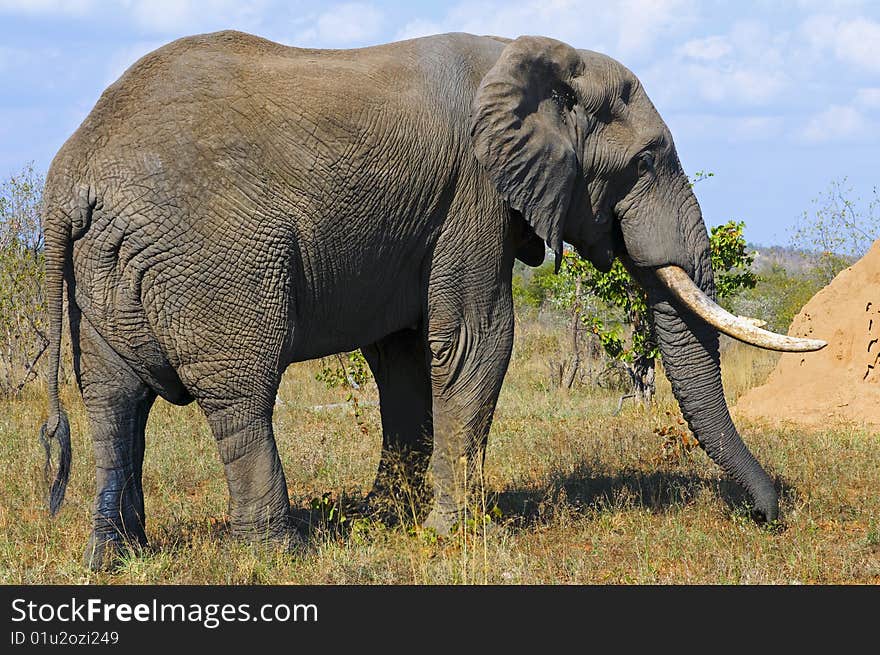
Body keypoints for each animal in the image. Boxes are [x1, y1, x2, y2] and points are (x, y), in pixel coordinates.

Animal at [39, 29, 824, 568]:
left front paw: (389, 516)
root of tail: (70, 179)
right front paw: (456, 532)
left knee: (112, 399)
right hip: (213, 259)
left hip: (106, 267)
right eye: (648, 159)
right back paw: (275, 555)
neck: (532, 53)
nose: (771, 514)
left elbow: (404, 358)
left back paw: (115, 557)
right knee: (240, 394)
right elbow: (476, 342)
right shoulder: (473, 193)